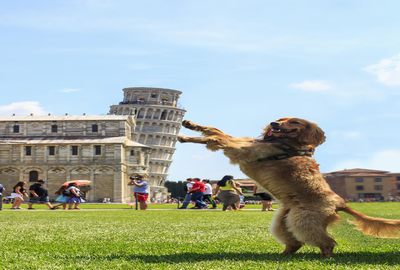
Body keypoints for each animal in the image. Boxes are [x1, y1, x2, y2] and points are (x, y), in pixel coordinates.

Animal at [178, 117, 400, 256]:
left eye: (295, 121)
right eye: (281, 118)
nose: (274, 123)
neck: (286, 144)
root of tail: (340, 202)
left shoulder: (242, 150)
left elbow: (216, 137)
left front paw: (186, 136)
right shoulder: (244, 144)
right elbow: (216, 130)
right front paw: (190, 125)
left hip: (302, 220)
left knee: (328, 242)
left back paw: (324, 258)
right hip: (284, 221)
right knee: (295, 243)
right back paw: (283, 254)